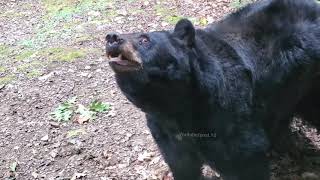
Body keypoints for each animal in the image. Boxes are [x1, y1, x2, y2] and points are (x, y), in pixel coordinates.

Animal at [105, 0, 320, 180]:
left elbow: (245, 158)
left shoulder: (226, 114)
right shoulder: (165, 130)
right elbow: (181, 163)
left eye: (144, 39)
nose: (111, 37)